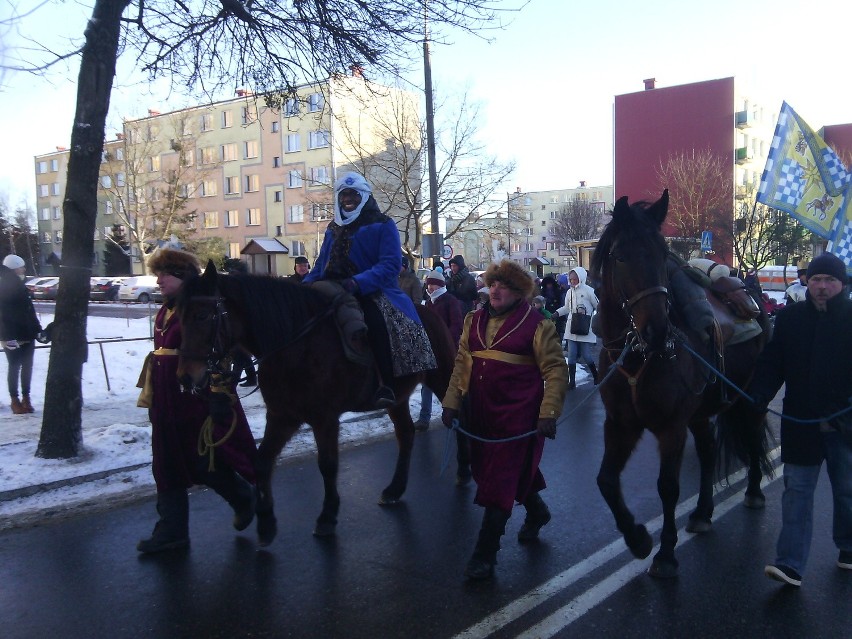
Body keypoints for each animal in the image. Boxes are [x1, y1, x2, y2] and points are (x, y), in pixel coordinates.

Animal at [174, 262, 462, 548]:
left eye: (202, 316)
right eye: (179, 315)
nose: (185, 377)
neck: (295, 345)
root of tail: (428, 310)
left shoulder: (325, 418)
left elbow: (327, 465)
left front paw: (327, 516)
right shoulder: (282, 416)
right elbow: (262, 461)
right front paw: (265, 521)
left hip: (442, 377)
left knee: (456, 418)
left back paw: (462, 473)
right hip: (398, 399)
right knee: (406, 434)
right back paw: (394, 489)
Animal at [588, 191, 776, 580]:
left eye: (662, 255)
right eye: (620, 256)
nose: (657, 331)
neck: (637, 357)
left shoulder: (671, 428)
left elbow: (668, 488)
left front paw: (665, 553)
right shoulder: (620, 425)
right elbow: (606, 481)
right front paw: (638, 539)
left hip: (750, 401)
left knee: (752, 441)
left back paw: (753, 491)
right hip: (702, 414)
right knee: (707, 452)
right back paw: (703, 513)